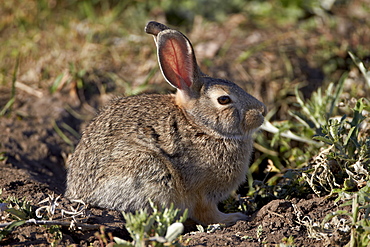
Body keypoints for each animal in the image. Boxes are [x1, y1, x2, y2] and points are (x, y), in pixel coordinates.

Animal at [64, 20, 266, 226]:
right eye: (224, 99)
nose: (262, 111)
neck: (200, 126)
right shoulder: (202, 192)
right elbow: (208, 214)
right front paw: (234, 217)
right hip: (150, 171)